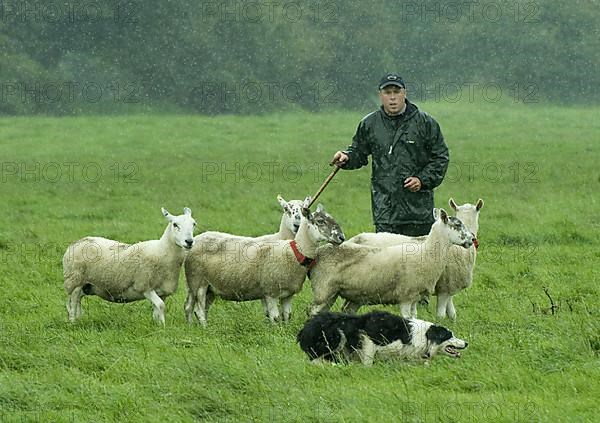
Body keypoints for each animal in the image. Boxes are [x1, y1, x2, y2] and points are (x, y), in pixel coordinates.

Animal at [62, 208, 197, 324]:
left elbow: (157, 309)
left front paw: (157, 324)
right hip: (75, 280)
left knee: (77, 301)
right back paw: (73, 322)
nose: (189, 241)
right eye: (175, 224)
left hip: (86, 285)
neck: (161, 251)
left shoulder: (161, 292)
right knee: (72, 303)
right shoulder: (144, 286)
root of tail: (77, 242)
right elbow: (161, 306)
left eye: (194, 224)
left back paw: (78, 319)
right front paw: (163, 326)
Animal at [183, 200, 344, 326]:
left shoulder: (287, 294)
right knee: (199, 310)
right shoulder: (270, 292)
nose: (341, 237)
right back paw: (205, 328)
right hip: (199, 282)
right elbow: (275, 317)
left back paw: (191, 326)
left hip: (207, 287)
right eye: (320, 221)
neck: (295, 251)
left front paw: (284, 330)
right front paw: (276, 333)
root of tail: (196, 240)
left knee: (190, 307)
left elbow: (287, 316)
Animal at [310, 209, 474, 318]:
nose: (472, 239)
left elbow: (415, 318)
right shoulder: (406, 296)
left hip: (338, 294)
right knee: (312, 311)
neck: (426, 252)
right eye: (457, 225)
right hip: (323, 290)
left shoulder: (415, 296)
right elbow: (408, 319)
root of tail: (319, 251)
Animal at [346, 200, 482, 320]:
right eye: (458, 225)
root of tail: (354, 239)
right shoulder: (445, 288)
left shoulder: (447, 288)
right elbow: (442, 315)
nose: (472, 239)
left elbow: (452, 314)